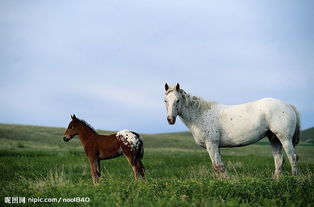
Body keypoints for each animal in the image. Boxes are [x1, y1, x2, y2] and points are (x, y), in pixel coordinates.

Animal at [163, 83, 300, 177]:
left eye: (177, 100)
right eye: (165, 100)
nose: (170, 119)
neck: (200, 115)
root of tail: (288, 105)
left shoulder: (211, 144)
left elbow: (217, 165)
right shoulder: (216, 146)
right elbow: (220, 166)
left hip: (284, 138)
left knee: (292, 157)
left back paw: (294, 178)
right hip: (274, 139)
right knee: (279, 160)